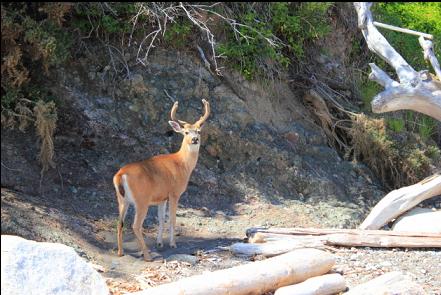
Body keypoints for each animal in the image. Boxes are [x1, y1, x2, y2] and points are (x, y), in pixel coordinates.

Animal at [112, 99, 211, 262]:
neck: (182, 164)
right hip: (141, 199)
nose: (194, 139)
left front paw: (159, 243)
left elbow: (160, 219)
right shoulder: (174, 193)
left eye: (199, 131)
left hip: (121, 199)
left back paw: (120, 252)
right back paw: (147, 256)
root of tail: (120, 175)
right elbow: (172, 219)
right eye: (186, 132)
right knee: (135, 225)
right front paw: (172, 244)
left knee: (120, 222)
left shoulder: (161, 198)